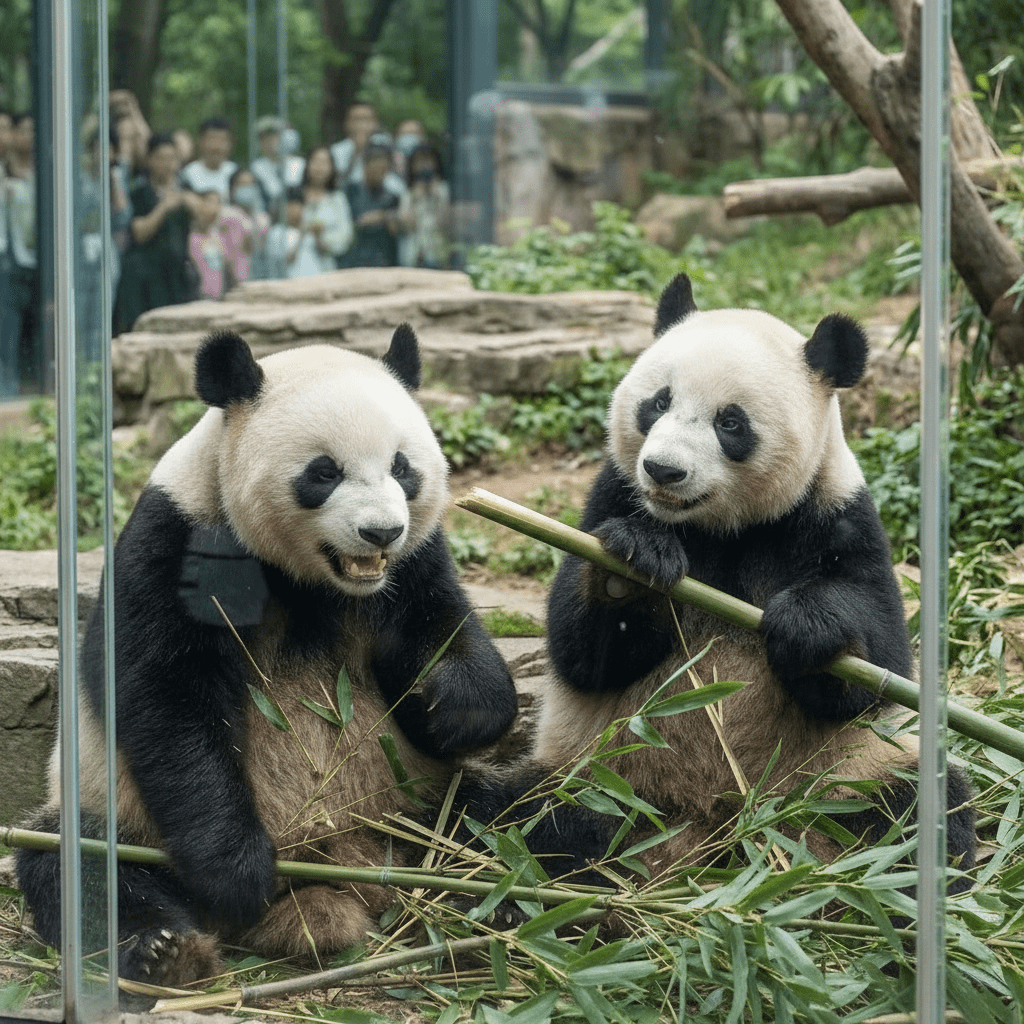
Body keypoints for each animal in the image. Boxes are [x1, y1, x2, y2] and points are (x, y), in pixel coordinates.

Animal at [16, 326, 518, 986]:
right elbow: (165, 701)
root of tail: (340, 876)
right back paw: (166, 950)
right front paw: (240, 870)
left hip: (418, 801)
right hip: (117, 811)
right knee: (78, 867)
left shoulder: (413, 565)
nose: (381, 532)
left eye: (402, 466)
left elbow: (443, 628)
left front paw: (452, 706)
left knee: (517, 814)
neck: (312, 579)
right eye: (324, 471)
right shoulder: (180, 543)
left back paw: (513, 899)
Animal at [496, 273, 976, 883]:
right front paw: (636, 563)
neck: (717, 527)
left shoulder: (833, 515)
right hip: (599, 774)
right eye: (658, 402)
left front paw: (806, 624)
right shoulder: (610, 497)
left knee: (916, 809)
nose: (663, 471)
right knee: (524, 818)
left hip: (845, 780)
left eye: (730, 422)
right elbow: (580, 652)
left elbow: (879, 663)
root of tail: (717, 835)